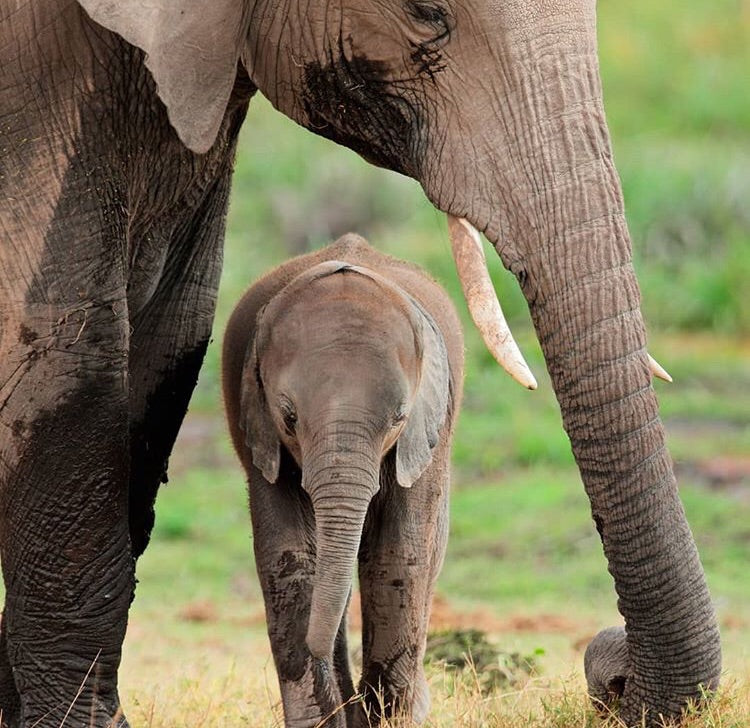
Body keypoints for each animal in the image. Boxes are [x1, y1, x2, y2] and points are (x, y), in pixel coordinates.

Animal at [222, 235, 463, 727]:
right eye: (289, 417)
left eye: (399, 417)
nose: (316, 648)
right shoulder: (259, 434)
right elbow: (290, 556)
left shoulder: (425, 437)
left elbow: (398, 554)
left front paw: (386, 717)